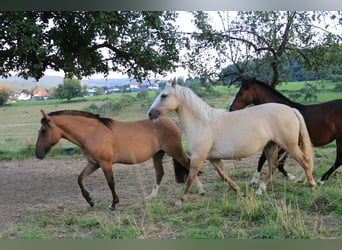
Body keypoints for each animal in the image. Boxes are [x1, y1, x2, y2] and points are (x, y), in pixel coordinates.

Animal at [34, 110, 203, 210]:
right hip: (158, 155)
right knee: (160, 173)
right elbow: (80, 179)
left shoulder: (105, 164)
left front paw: (113, 204)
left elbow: (111, 183)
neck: (93, 133)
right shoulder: (94, 164)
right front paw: (90, 200)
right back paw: (151, 197)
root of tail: (172, 121)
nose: (37, 154)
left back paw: (197, 192)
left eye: (43, 131)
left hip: (174, 151)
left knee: (190, 166)